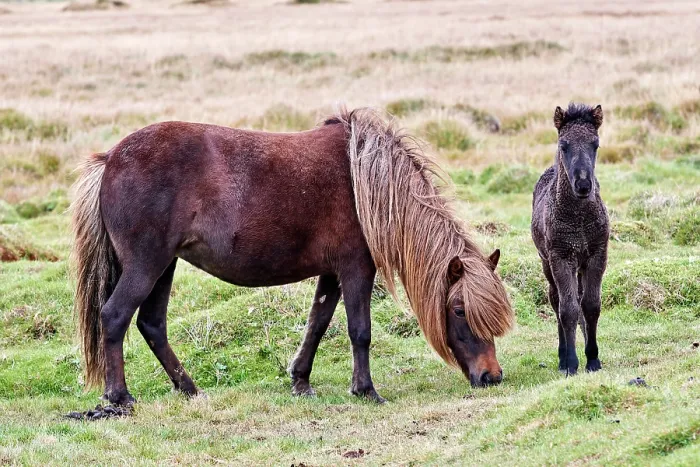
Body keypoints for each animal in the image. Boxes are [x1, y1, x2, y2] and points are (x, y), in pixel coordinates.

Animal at [71, 108, 514, 407]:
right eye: (459, 311)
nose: (491, 377)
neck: (366, 181)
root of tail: (111, 159)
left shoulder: (332, 274)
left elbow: (318, 323)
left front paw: (301, 381)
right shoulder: (356, 269)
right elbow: (360, 331)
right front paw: (367, 390)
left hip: (164, 266)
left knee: (152, 324)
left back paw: (190, 388)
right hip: (147, 265)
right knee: (115, 316)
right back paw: (119, 396)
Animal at [531, 103, 609, 375]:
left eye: (595, 144)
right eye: (563, 145)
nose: (583, 185)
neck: (579, 220)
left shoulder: (597, 255)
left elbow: (591, 306)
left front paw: (593, 358)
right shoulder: (561, 258)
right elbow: (568, 309)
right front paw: (572, 364)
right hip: (547, 263)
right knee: (556, 301)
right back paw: (563, 356)